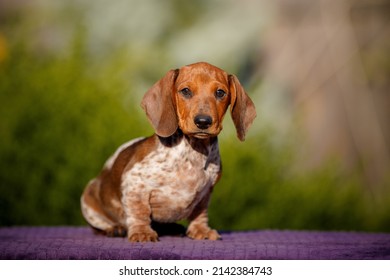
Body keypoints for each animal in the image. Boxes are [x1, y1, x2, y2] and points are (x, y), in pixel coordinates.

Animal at [80, 62, 256, 242]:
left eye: (220, 93)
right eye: (185, 91)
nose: (203, 121)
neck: (193, 152)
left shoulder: (206, 192)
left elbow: (200, 213)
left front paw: (200, 230)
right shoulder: (135, 182)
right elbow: (139, 212)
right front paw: (142, 232)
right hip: (87, 201)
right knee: (98, 226)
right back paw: (114, 228)